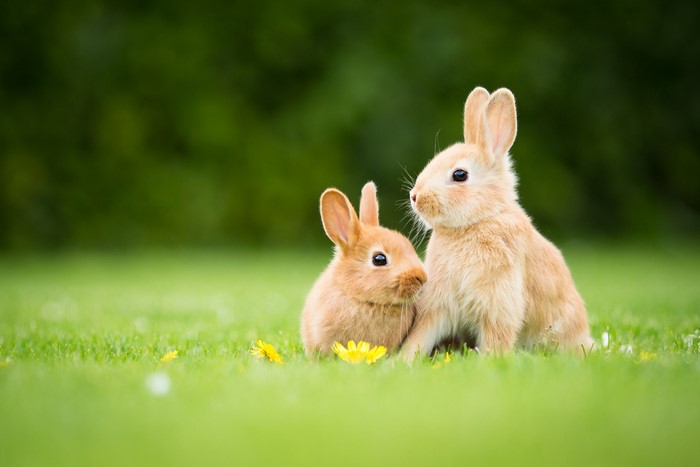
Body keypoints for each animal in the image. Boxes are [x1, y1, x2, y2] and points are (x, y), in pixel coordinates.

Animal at [401, 86, 593, 359]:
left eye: (460, 174)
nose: (415, 196)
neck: (479, 220)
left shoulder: (499, 303)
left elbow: (496, 338)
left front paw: (490, 361)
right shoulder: (438, 305)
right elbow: (420, 336)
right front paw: (401, 360)